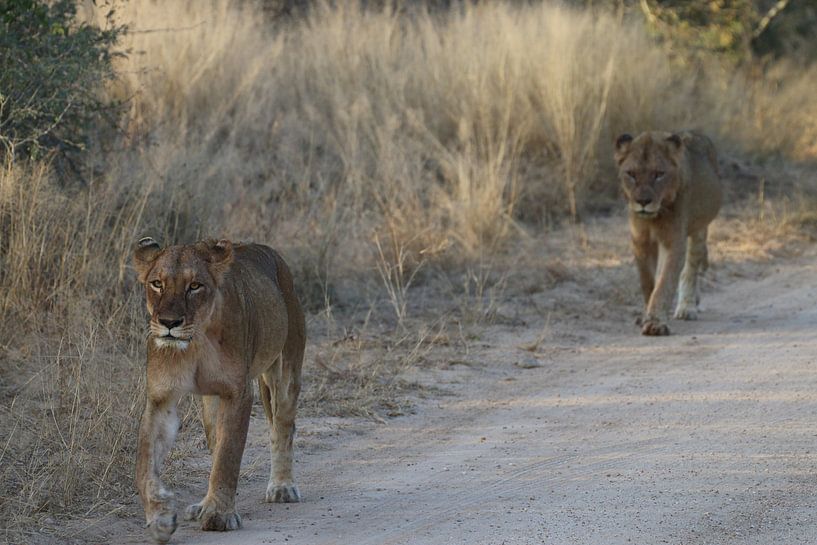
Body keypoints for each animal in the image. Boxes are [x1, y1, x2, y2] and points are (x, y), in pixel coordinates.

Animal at [132, 239, 304, 544]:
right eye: (157, 284)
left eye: (195, 286)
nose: (169, 323)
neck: (197, 341)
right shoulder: (161, 399)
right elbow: (144, 463)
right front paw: (160, 517)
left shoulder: (238, 393)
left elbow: (228, 456)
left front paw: (220, 516)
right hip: (211, 401)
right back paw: (202, 505)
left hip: (285, 369)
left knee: (282, 426)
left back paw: (282, 487)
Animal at [612, 131, 720, 336]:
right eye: (631, 174)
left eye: (658, 175)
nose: (643, 201)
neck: (655, 217)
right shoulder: (641, 241)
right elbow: (648, 282)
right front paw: (647, 315)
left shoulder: (674, 240)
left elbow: (665, 283)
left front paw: (655, 323)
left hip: (699, 228)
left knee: (691, 267)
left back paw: (687, 307)